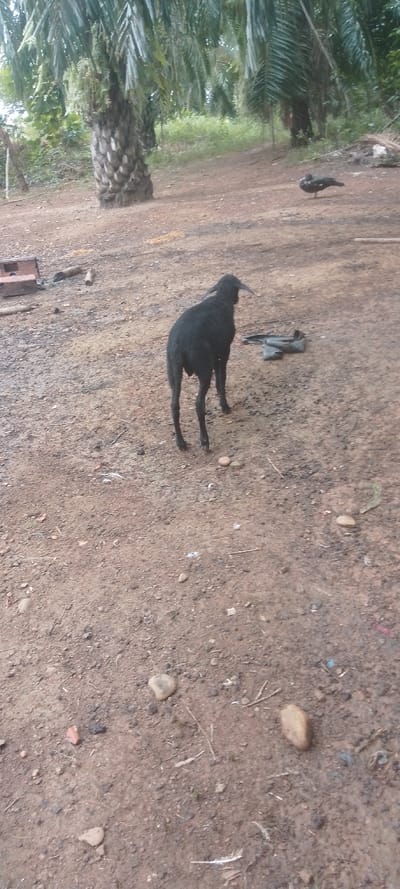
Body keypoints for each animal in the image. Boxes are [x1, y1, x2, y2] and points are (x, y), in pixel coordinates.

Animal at [167, 273, 254, 452]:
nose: (236, 300)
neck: (221, 298)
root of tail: (179, 344)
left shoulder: (215, 356)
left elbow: (219, 380)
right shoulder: (224, 351)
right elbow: (222, 378)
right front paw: (224, 405)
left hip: (174, 373)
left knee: (174, 405)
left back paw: (181, 443)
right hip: (204, 369)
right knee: (199, 404)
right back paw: (205, 441)